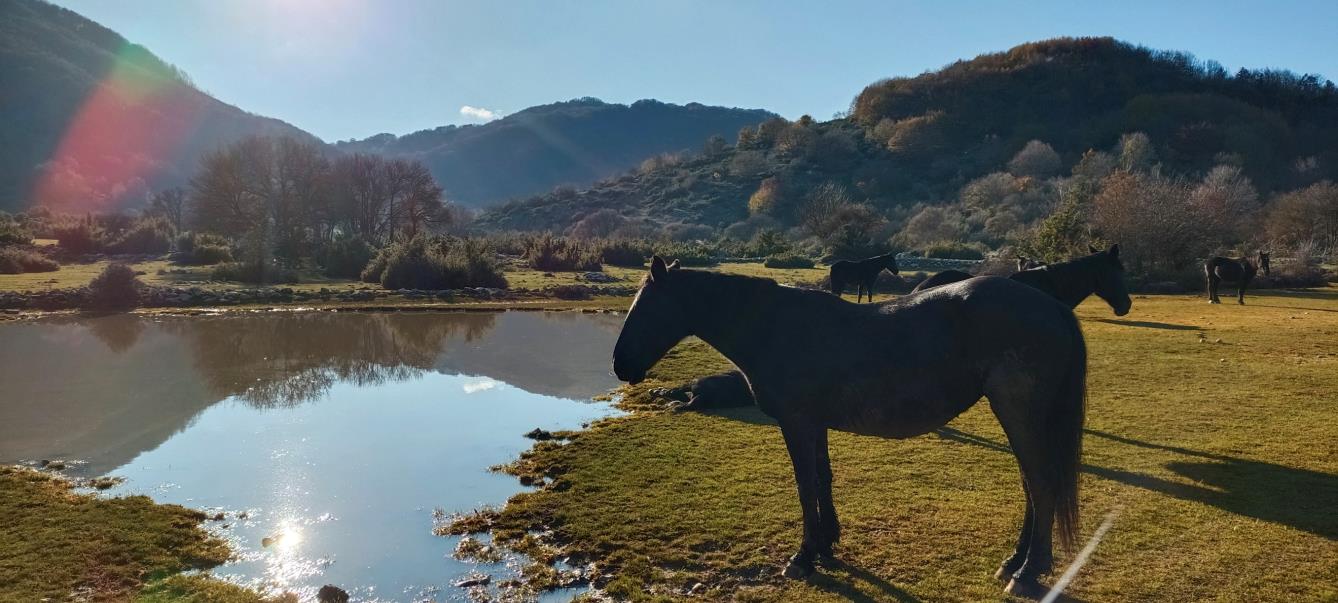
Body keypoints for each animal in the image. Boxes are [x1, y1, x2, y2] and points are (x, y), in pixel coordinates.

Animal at [613, 257, 1088, 597]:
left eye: (645, 308)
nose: (620, 366)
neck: (775, 327)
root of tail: (1051, 306)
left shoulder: (797, 422)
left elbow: (805, 484)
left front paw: (803, 557)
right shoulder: (814, 423)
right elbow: (822, 479)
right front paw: (826, 545)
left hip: (1017, 411)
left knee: (1041, 483)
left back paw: (1027, 571)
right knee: (1032, 484)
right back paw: (1015, 561)